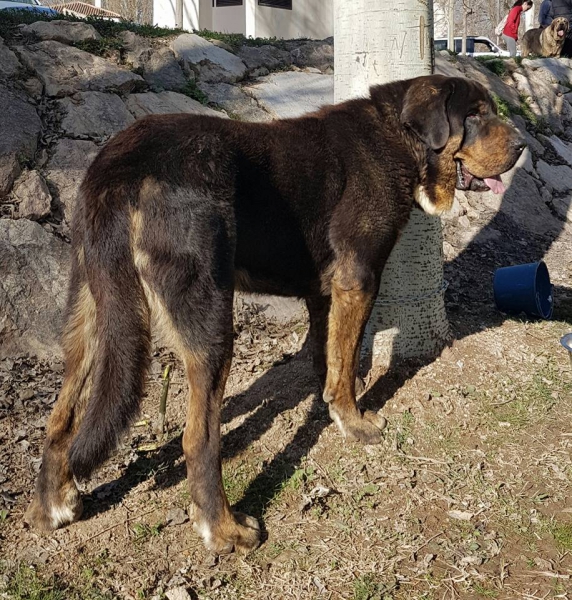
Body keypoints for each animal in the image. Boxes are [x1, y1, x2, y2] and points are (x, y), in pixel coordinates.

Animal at [27, 74, 528, 552]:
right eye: (475, 115)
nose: (523, 144)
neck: (397, 136)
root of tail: (118, 166)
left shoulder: (326, 293)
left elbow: (331, 359)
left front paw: (332, 405)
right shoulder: (358, 280)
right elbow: (347, 362)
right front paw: (356, 422)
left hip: (91, 314)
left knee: (61, 417)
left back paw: (54, 504)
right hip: (210, 319)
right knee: (198, 438)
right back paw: (225, 530)